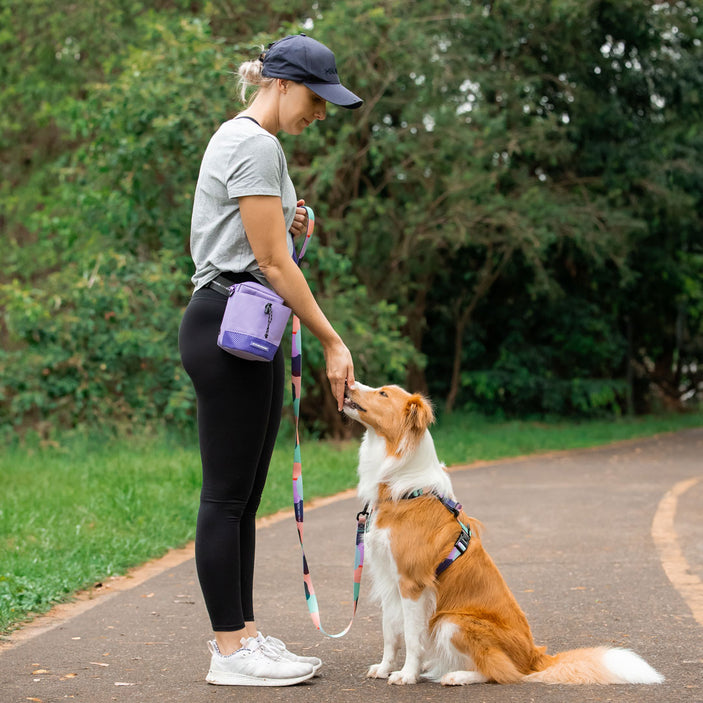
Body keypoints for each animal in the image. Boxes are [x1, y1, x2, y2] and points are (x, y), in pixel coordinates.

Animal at [346, 384, 664, 688]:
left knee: (501, 671)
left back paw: (459, 676)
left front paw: (407, 674)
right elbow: (390, 632)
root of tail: (535, 656)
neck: (406, 489)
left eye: (383, 394)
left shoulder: (413, 583)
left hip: (452, 621)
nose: (348, 386)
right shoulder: (390, 579)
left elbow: (412, 638)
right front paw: (385, 668)